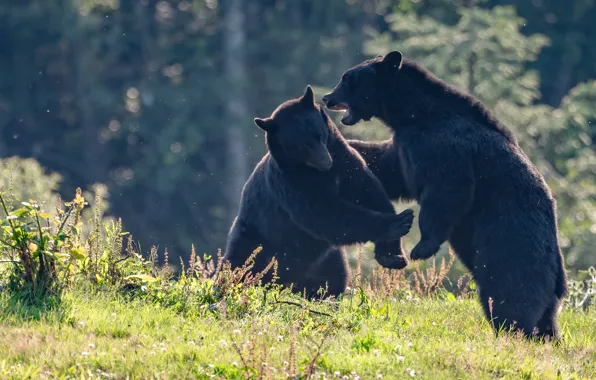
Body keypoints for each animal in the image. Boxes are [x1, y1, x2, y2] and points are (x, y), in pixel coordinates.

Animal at [222, 84, 414, 298]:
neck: (315, 172)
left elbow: (368, 192)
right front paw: (397, 222)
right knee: (239, 266)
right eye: (301, 145)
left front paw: (393, 254)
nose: (325, 161)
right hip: (257, 241)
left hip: (327, 259)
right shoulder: (291, 183)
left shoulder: (345, 163)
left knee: (335, 275)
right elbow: (322, 212)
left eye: (319, 134)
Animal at [324, 50, 572, 338]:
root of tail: (558, 271)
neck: (412, 114)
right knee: (545, 314)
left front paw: (421, 247)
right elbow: (387, 166)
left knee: (509, 295)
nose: (327, 98)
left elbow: (447, 189)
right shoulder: (404, 149)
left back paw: (514, 332)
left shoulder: (446, 147)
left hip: (511, 248)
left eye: (347, 78)